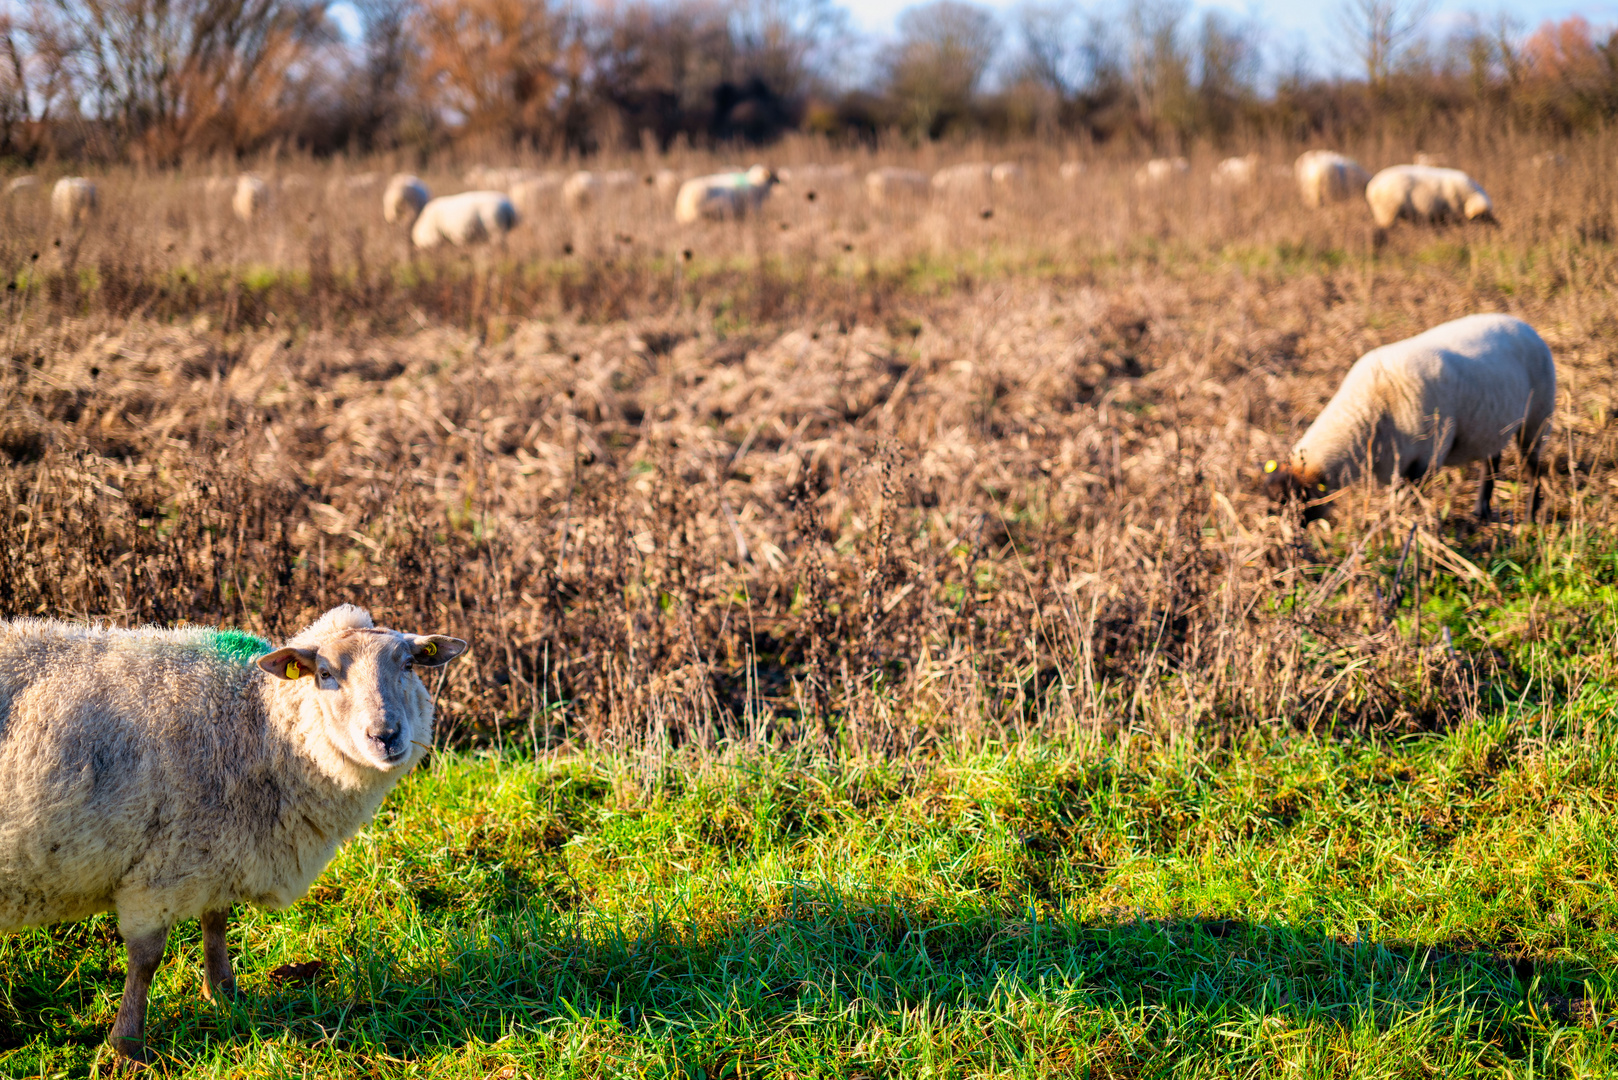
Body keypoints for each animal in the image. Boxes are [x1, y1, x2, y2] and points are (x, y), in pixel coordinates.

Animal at [0, 608, 469, 1062]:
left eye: (409, 665)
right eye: (324, 673)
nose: (385, 736)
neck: (256, 725)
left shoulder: (217, 847)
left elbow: (216, 921)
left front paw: (224, 995)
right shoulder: (158, 869)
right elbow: (147, 959)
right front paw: (129, 1045)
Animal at [1262, 310, 1553, 521]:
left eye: (1295, 503)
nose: (1286, 550)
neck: (1372, 404)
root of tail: (1524, 325)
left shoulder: (1426, 459)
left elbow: (1405, 502)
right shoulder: (1399, 464)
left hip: (1537, 418)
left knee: (1533, 468)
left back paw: (1530, 517)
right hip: (1493, 422)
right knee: (1491, 461)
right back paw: (1480, 511)